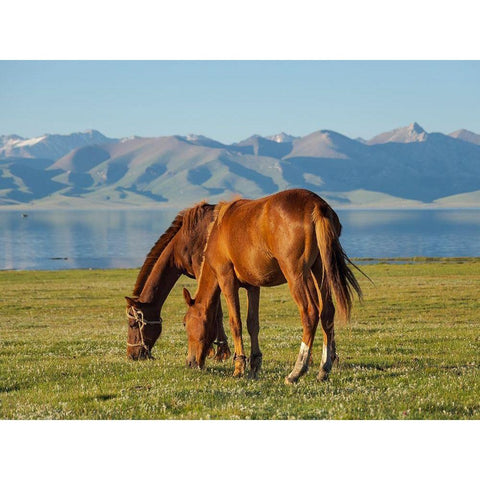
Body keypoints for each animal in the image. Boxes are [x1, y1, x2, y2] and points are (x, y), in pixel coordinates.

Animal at [125, 202, 231, 360]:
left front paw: (220, 352)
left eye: (133, 324)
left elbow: (215, 311)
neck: (183, 242)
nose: (132, 355)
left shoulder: (203, 272)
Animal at [182, 189, 362, 384]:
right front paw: (254, 365)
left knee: (310, 313)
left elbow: (235, 323)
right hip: (320, 271)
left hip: (296, 275)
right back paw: (323, 369)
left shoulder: (226, 280)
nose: (190, 362)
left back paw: (296, 371)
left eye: (185, 323)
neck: (217, 232)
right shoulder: (253, 287)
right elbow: (252, 324)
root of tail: (316, 204)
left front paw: (239, 367)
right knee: (327, 312)